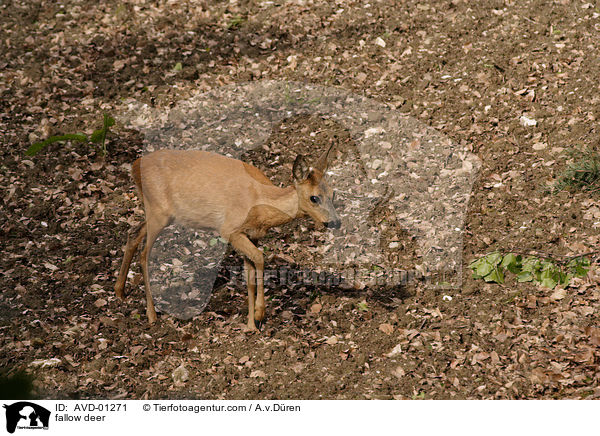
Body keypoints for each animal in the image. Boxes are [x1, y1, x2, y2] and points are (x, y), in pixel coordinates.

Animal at [115, 144, 340, 330]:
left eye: (333, 193)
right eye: (313, 197)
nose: (336, 222)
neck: (261, 203)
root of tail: (134, 166)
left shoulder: (250, 234)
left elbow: (250, 276)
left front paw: (251, 325)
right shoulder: (230, 229)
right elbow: (260, 258)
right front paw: (260, 313)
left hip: (157, 213)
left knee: (132, 233)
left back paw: (120, 292)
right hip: (158, 211)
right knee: (144, 254)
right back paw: (152, 315)